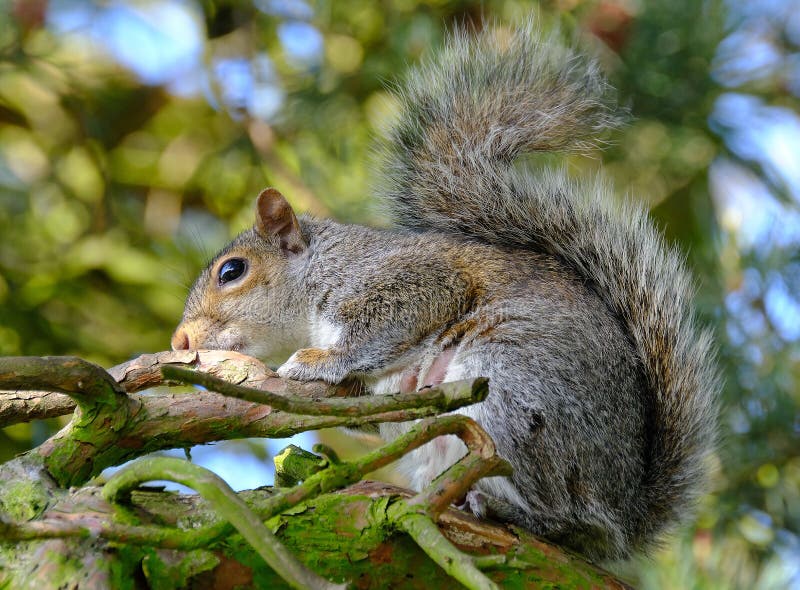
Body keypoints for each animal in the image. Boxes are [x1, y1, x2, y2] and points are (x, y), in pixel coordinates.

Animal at [170, 22, 720, 560]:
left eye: (232, 271)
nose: (180, 341)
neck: (317, 273)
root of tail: (624, 511)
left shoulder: (411, 279)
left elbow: (387, 323)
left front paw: (317, 361)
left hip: (514, 387)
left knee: (567, 518)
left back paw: (509, 510)